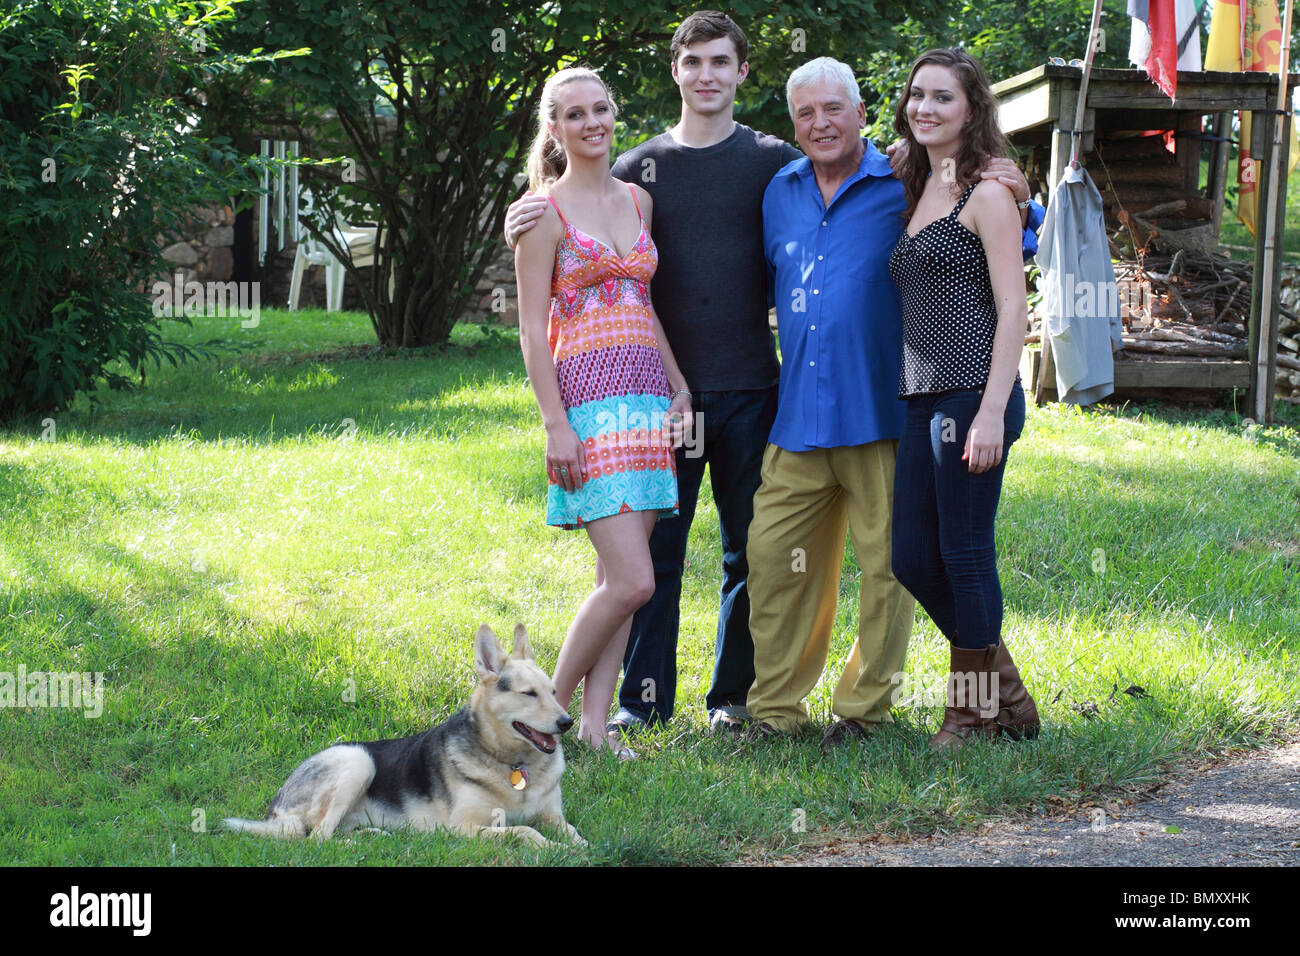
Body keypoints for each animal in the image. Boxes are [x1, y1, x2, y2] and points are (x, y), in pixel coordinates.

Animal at [226, 624, 587, 848]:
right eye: (529, 694)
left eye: (554, 692)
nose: (567, 722)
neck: (514, 764)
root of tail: (277, 806)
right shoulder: (464, 828)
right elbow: (525, 830)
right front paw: (553, 848)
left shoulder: (553, 816)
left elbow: (573, 832)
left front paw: (580, 846)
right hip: (357, 760)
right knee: (317, 839)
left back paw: (371, 835)